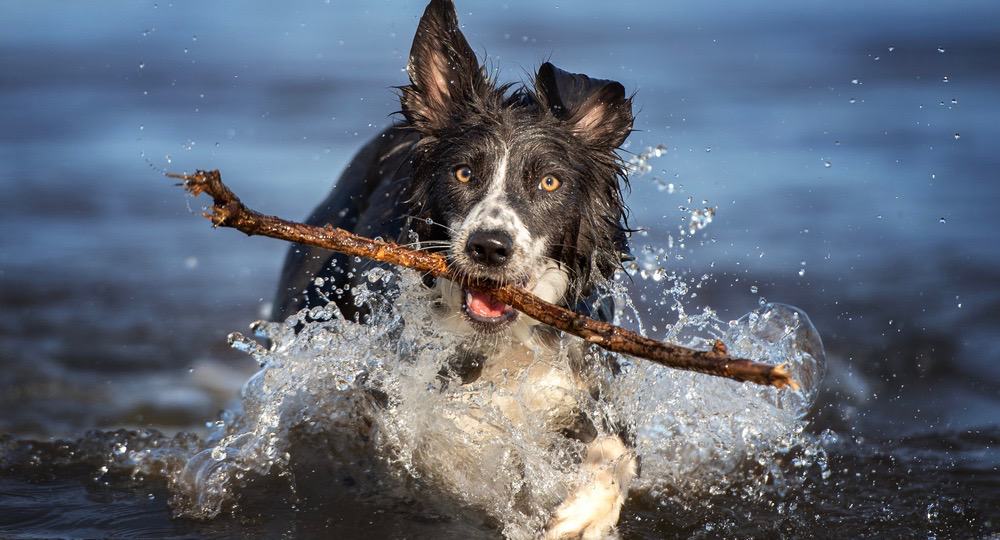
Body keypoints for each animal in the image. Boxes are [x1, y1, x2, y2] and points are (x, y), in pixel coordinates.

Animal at [272, 2, 640, 536]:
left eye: (549, 182)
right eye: (463, 173)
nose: (489, 247)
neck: (499, 348)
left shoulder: (586, 375)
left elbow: (617, 449)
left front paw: (583, 512)